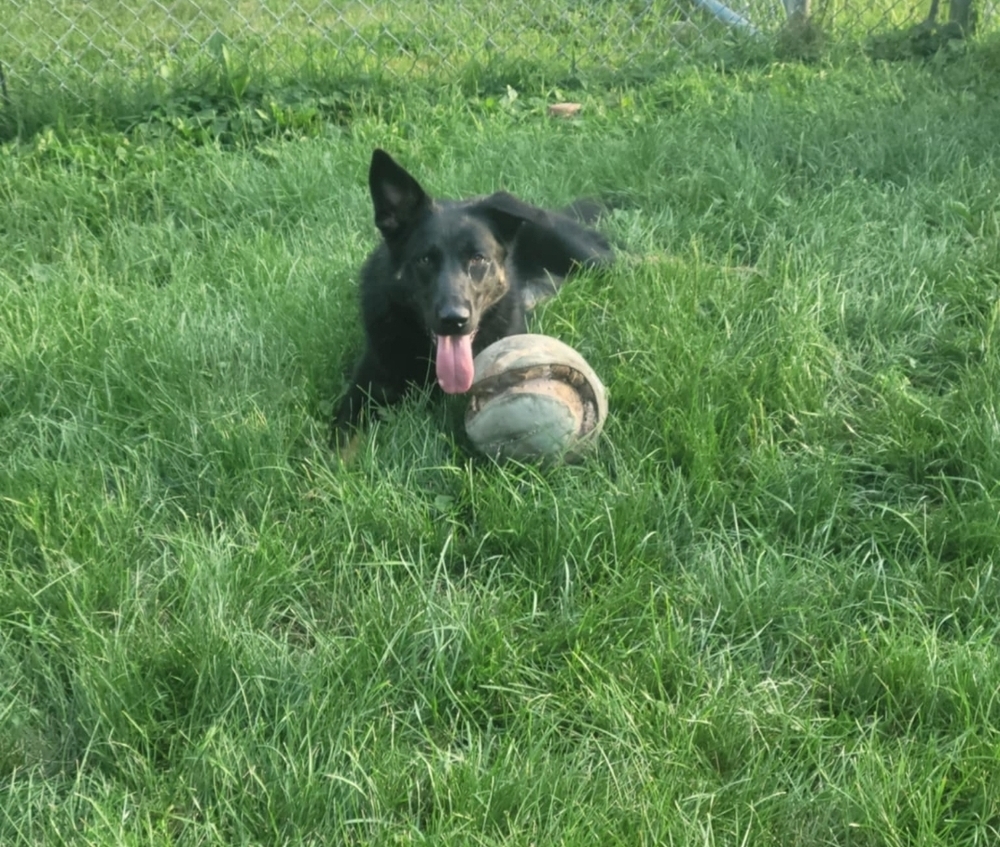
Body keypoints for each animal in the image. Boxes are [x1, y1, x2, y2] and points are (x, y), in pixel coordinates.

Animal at [330, 149, 608, 448]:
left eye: (478, 258)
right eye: (424, 259)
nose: (454, 320)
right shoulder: (366, 388)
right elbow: (342, 440)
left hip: (589, 257)